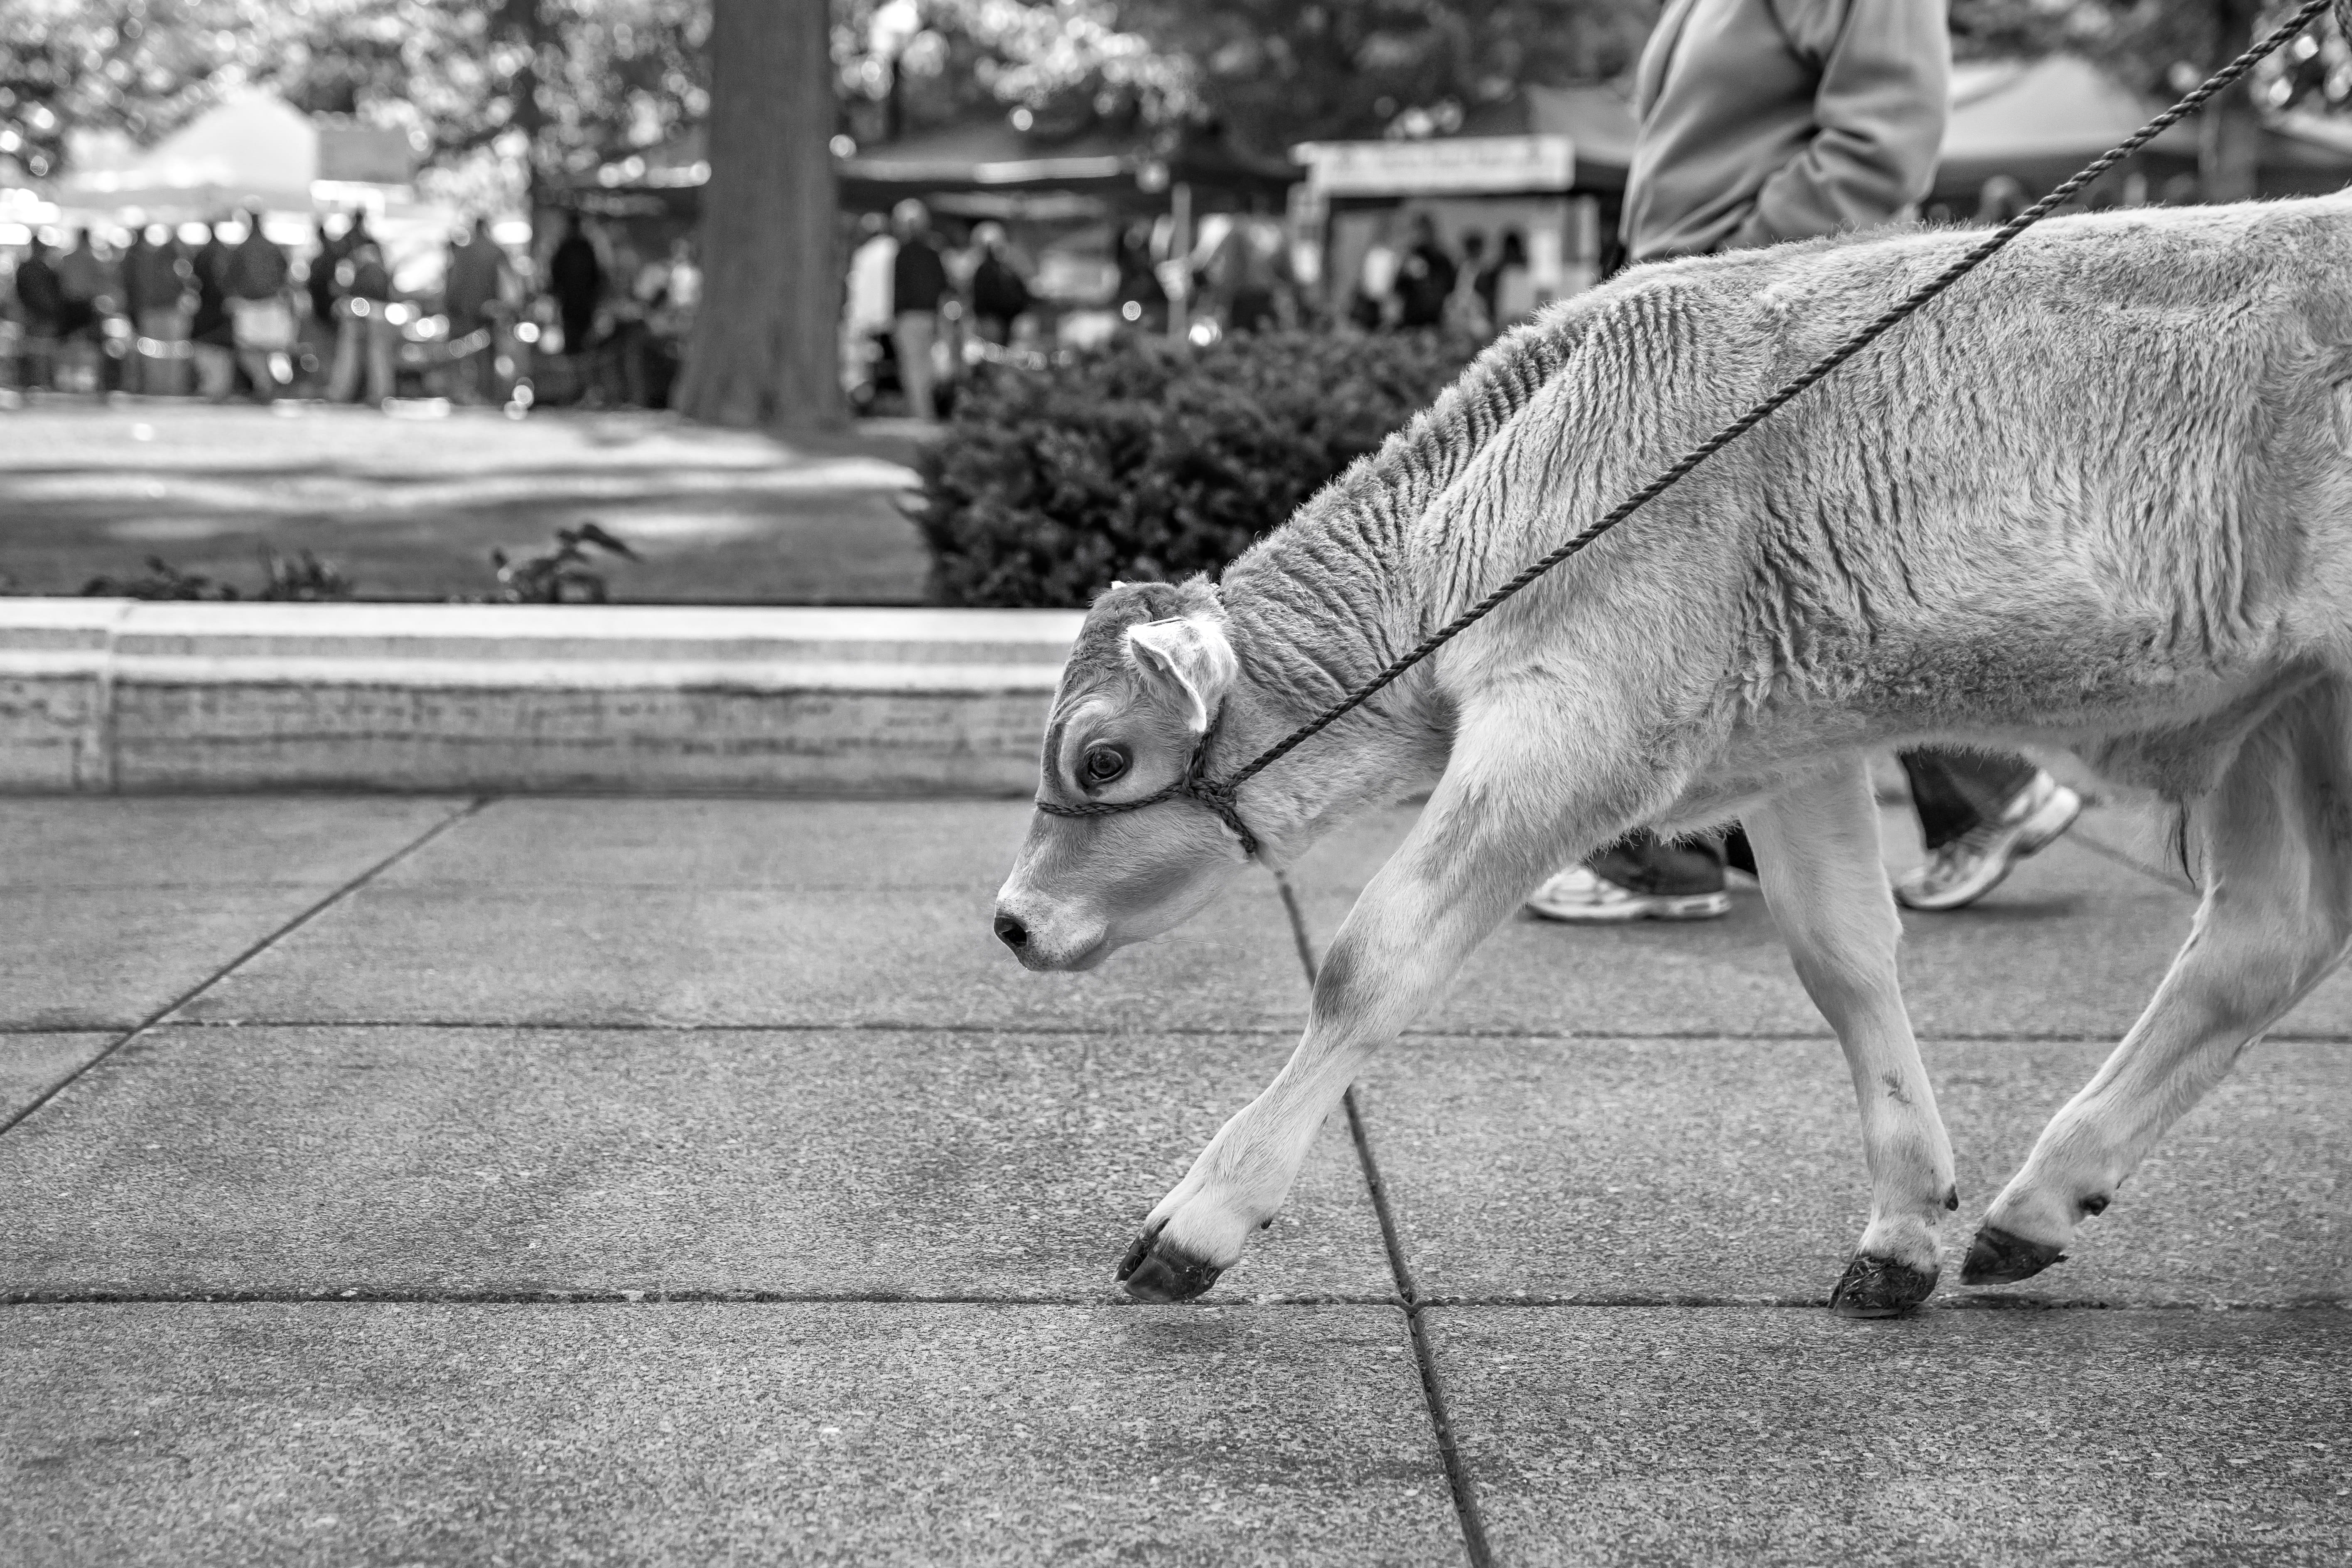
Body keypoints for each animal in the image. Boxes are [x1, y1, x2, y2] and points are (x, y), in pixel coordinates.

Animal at [992, 196, 2352, 1316]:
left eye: (1103, 758)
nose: (1008, 920)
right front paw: (1901, 1226)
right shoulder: (1796, 742)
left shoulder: (1578, 722)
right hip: (2285, 713)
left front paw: (1198, 1218)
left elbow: (1369, 959)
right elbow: (1841, 955)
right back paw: (2035, 1203)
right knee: (2260, 938)